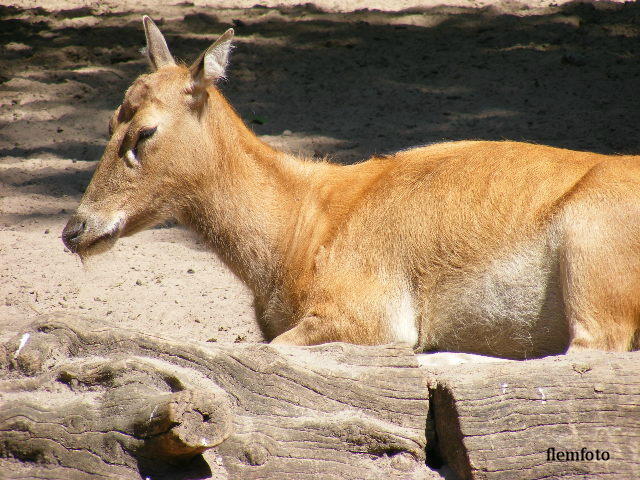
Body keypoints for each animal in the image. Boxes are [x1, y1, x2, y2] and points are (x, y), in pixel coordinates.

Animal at [63, 16, 640, 358]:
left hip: (592, 272)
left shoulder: (367, 316)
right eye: (110, 121)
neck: (297, 231)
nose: (75, 229)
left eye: (145, 131)